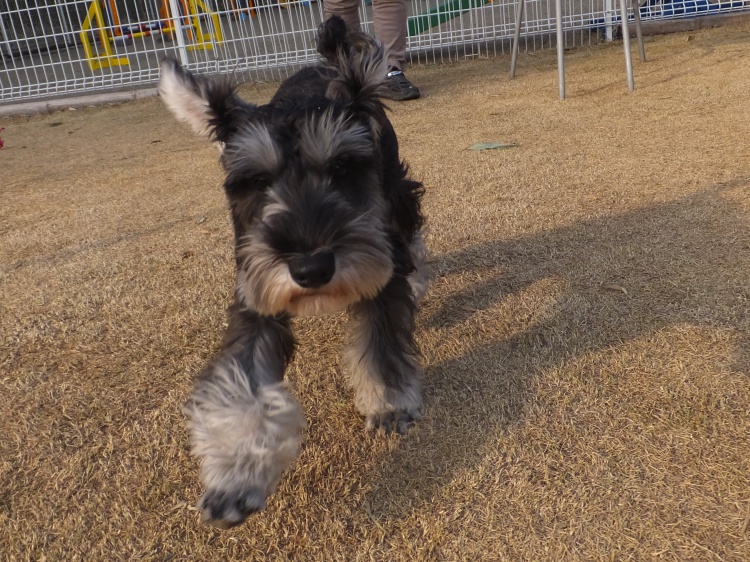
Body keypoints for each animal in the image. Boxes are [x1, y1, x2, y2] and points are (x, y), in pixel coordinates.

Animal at [158, 16, 429, 528]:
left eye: (342, 167)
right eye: (257, 181)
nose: (311, 268)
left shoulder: (382, 276)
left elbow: (381, 342)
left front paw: (388, 403)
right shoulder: (253, 297)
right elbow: (241, 384)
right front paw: (236, 474)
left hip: (397, 194)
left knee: (413, 229)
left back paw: (419, 275)